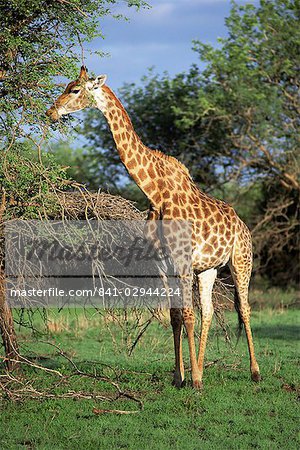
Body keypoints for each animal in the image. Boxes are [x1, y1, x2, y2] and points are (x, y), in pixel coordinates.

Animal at [47, 66, 260, 386]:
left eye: (74, 90)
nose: (51, 112)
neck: (155, 192)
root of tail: (243, 226)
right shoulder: (162, 262)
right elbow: (174, 316)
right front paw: (179, 377)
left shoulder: (182, 260)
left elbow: (187, 315)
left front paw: (194, 382)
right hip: (208, 269)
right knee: (209, 312)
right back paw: (202, 369)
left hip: (241, 260)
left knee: (244, 310)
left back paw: (254, 372)